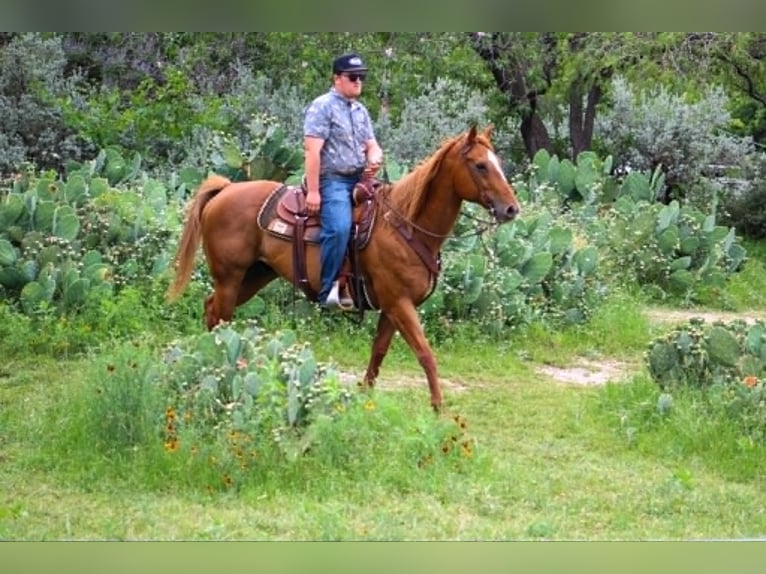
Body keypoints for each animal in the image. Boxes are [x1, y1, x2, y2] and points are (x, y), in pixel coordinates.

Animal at [166, 125, 520, 411]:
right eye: (480, 165)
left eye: (498, 163)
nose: (511, 209)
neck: (405, 226)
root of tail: (226, 189)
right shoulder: (400, 304)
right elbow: (425, 353)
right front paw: (437, 407)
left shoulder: (391, 308)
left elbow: (379, 352)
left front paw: (366, 395)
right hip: (230, 277)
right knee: (220, 319)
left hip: (252, 278)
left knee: (211, 310)